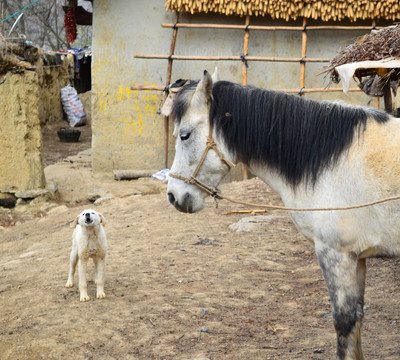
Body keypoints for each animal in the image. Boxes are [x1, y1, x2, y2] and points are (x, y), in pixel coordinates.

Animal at [164, 69, 400, 358]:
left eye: (184, 135)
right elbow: (357, 320)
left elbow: (345, 322)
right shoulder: (357, 258)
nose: (173, 195)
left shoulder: (336, 254)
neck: (333, 162)